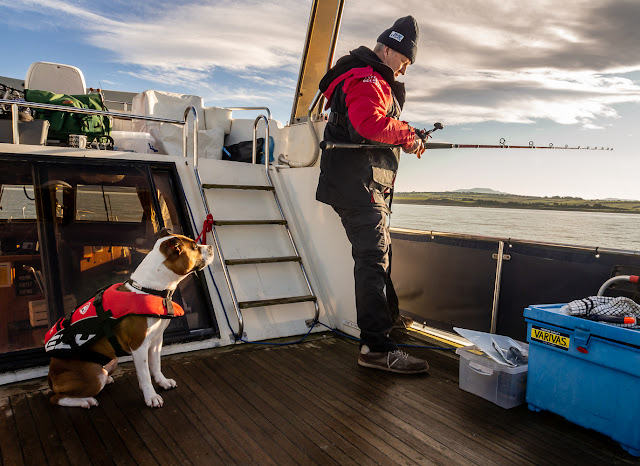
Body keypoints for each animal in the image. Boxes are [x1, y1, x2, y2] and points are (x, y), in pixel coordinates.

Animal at [45, 233, 215, 408]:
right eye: (194, 247)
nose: (210, 247)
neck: (150, 289)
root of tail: (51, 376)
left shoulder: (156, 341)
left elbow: (156, 365)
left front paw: (162, 382)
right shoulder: (139, 346)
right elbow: (145, 374)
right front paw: (151, 396)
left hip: (112, 361)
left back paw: (107, 380)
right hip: (94, 376)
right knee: (56, 398)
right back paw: (85, 400)